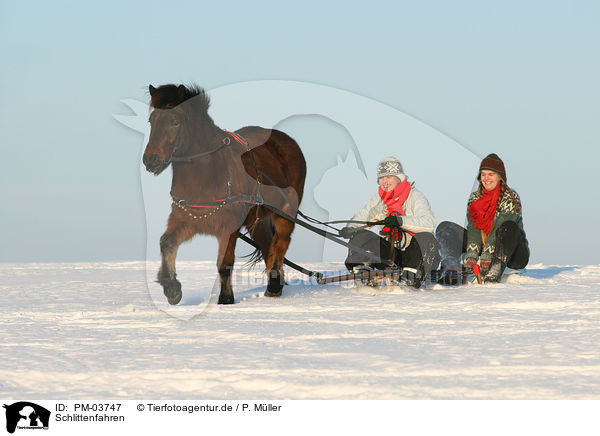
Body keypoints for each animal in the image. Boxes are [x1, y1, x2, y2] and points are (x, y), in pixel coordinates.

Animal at [143, 83, 308, 304]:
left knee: (280, 242)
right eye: (152, 121)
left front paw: (225, 299)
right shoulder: (186, 219)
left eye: (175, 121)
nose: (150, 159)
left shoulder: (228, 227)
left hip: (286, 210)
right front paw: (172, 288)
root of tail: (286, 141)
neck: (207, 174)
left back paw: (274, 286)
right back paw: (274, 286)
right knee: (268, 246)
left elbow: (224, 263)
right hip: (256, 219)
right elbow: (166, 243)